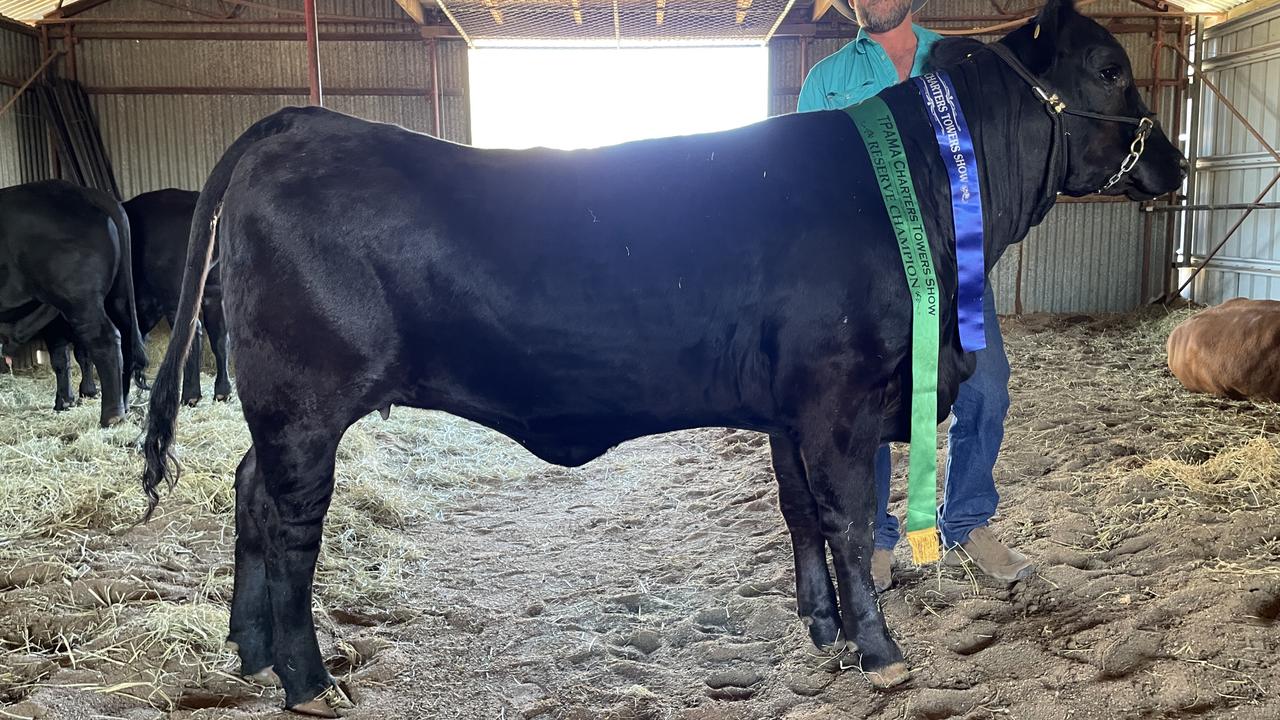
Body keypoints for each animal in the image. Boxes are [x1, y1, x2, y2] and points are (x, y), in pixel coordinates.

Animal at [0, 179, 146, 425]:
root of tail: (82, 191)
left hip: (78, 300)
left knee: (105, 340)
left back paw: (111, 415)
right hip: (115, 298)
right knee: (124, 339)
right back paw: (122, 406)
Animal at [128, 185, 234, 404]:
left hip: (177, 295)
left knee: (191, 332)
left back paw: (190, 395)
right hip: (213, 291)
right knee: (219, 336)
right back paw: (222, 391)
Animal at [140, 2, 1177, 712]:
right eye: (1110, 66)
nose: (1171, 162)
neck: (924, 180)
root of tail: (302, 121)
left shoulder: (788, 407)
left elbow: (801, 516)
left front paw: (823, 631)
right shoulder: (839, 396)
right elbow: (847, 521)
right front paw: (881, 653)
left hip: (280, 409)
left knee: (247, 494)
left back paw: (248, 652)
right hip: (304, 404)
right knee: (291, 526)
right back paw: (306, 679)